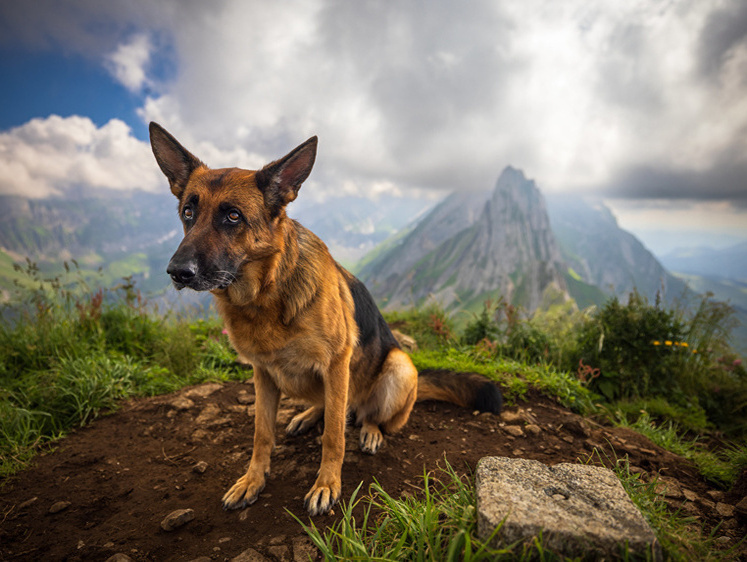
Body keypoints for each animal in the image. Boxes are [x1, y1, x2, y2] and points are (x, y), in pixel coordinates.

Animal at [150, 123, 506, 516]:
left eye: (233, 216)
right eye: (188, 212)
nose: (177, 272)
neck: (266, 296)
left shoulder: (336, 365)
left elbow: (334, 435)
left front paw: (326, 485)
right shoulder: (262, 375)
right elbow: (262, 433)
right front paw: (252, 480)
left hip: (398, 366)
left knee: (363, 414)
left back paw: (369, 431)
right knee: (331, 406)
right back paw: (307, 415)